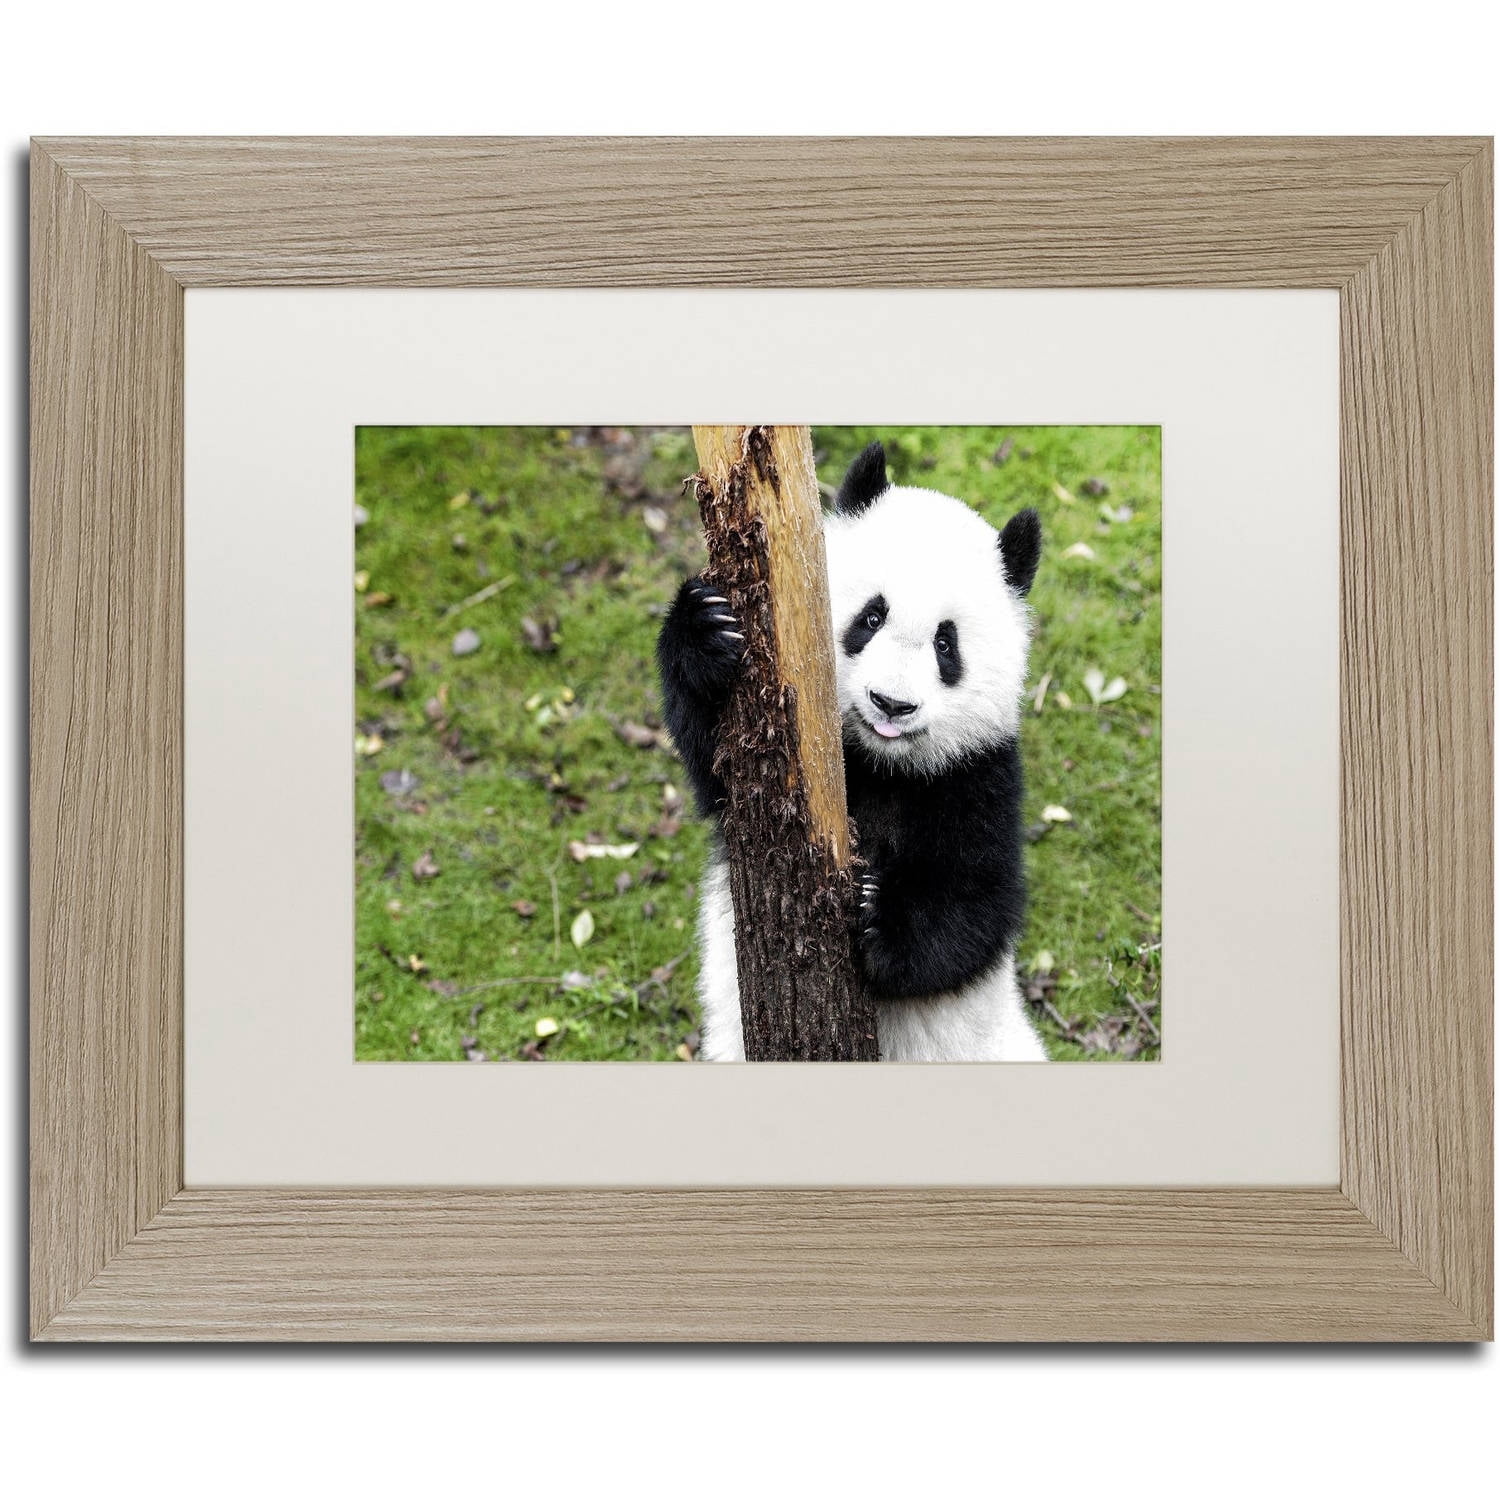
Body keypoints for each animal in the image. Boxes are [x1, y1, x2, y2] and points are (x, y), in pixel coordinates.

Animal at [656, 440, 1049, 1063]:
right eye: (871, 616)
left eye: (946, 644)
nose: (891, 704)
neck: (880, 764)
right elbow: (712, 765)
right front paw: (706, 626)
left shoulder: (980, 775)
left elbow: (978, 903)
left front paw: (874, 917)